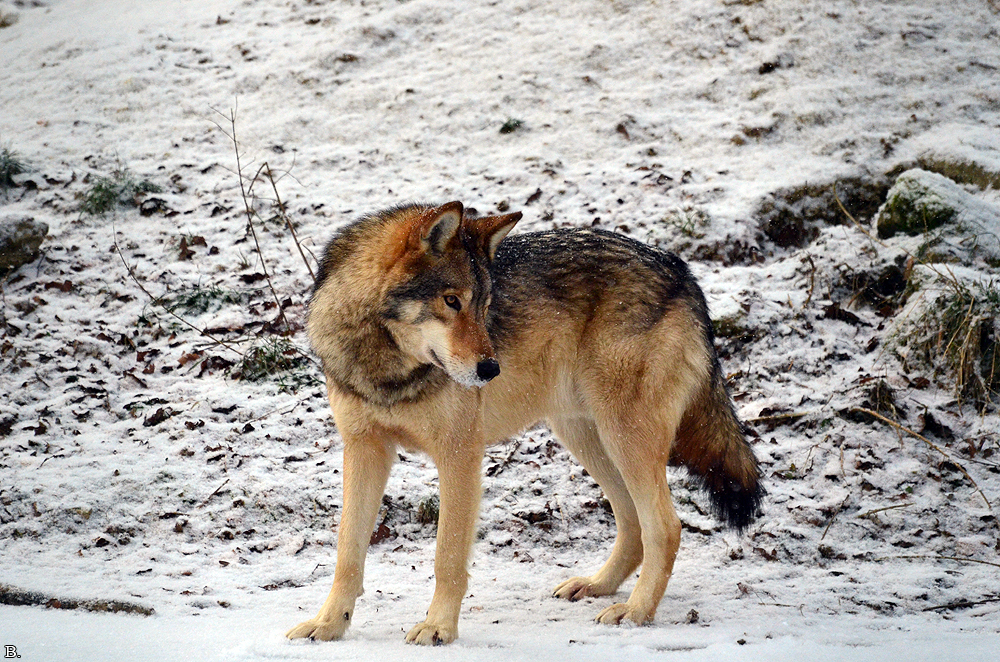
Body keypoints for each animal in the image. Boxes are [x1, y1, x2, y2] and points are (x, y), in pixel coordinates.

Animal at [286, 201, 763, 645]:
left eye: (484, 306)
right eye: (451, 301)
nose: (490, 369)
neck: (388, 370)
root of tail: (682, 270)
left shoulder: (459, 455)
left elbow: (447, 557)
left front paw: (438, 627)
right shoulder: (363, 448)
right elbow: (348, 553)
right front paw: (328, 625)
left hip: (622, 436)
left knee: (665, 527)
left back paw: (635, 611)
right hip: (586, 436)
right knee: (632, 523)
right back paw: (597, 585)